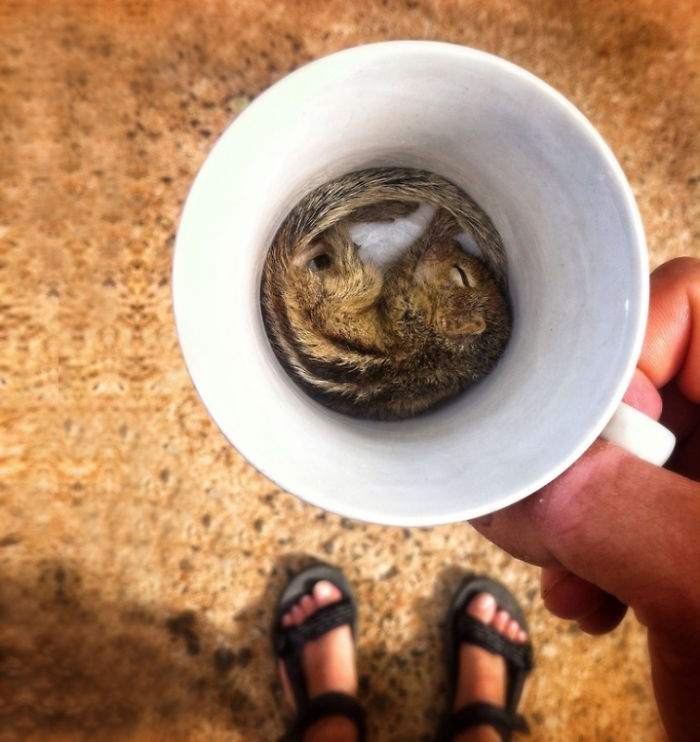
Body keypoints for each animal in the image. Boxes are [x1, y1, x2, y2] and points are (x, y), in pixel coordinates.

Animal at [260, 167, 510, 420]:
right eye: (477, 267)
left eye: (461, 275)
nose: (450, 244)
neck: (443, 348)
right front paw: (446, 223)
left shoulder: (405, 304)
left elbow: (410, 258)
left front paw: (439, 225)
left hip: (360, 281)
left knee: (320, 251)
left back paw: (321, 242)